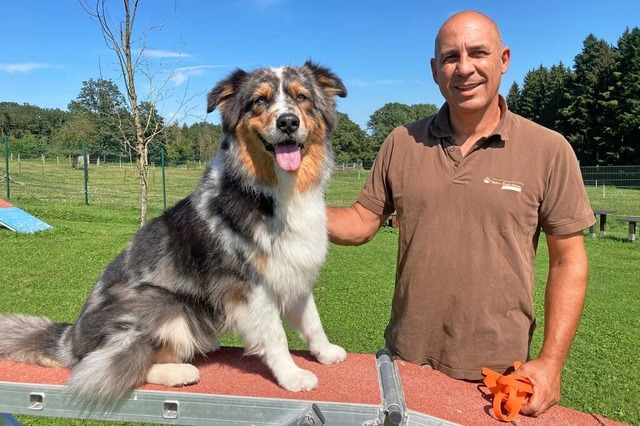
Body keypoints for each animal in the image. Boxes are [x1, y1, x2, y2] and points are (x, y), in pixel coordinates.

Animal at [0, 60, 344, 402]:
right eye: (260, 100)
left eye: (302, 97)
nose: (288, 122)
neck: (275, 190)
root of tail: (70, 339)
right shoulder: (248, 284)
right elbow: (275, 334)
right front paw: (291, 376)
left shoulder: (294, 267)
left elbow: (312, 319)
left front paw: (326, 352)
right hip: (163, 303)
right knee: (109, 366)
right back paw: (179, 372)